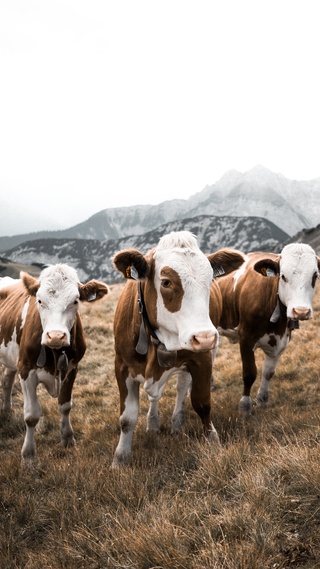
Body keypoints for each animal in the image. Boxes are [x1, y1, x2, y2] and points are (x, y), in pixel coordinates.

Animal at [0, 264, 109, 460]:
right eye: (40, 301)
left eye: (75, 301)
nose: (56, 336)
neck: (55, 351)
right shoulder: (26, 370)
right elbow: (31, 415)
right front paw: (28, 454)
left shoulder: (72, 369)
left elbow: (65, 405)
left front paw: (68, 438)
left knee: (7, 379)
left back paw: (6, 411)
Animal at [111, 231, 244, 466]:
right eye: (166, 281)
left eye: (211, 279)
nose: (205, 337)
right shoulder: (122, 365)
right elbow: (127, 418)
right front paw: (120, 458)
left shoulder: (202, 359)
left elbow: (202, 403)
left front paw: (213, 442)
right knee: (155, 397)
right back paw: (153, 423)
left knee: (182, 387)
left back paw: (176, 422)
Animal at [216, 242, 318, 414]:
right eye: (283, 276)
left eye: (315, 276)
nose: (301, 312)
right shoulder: (246, 337)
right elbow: (249, 373)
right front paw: (245, 406)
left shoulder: (281, 340)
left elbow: (268, 373)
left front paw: (262, 400)